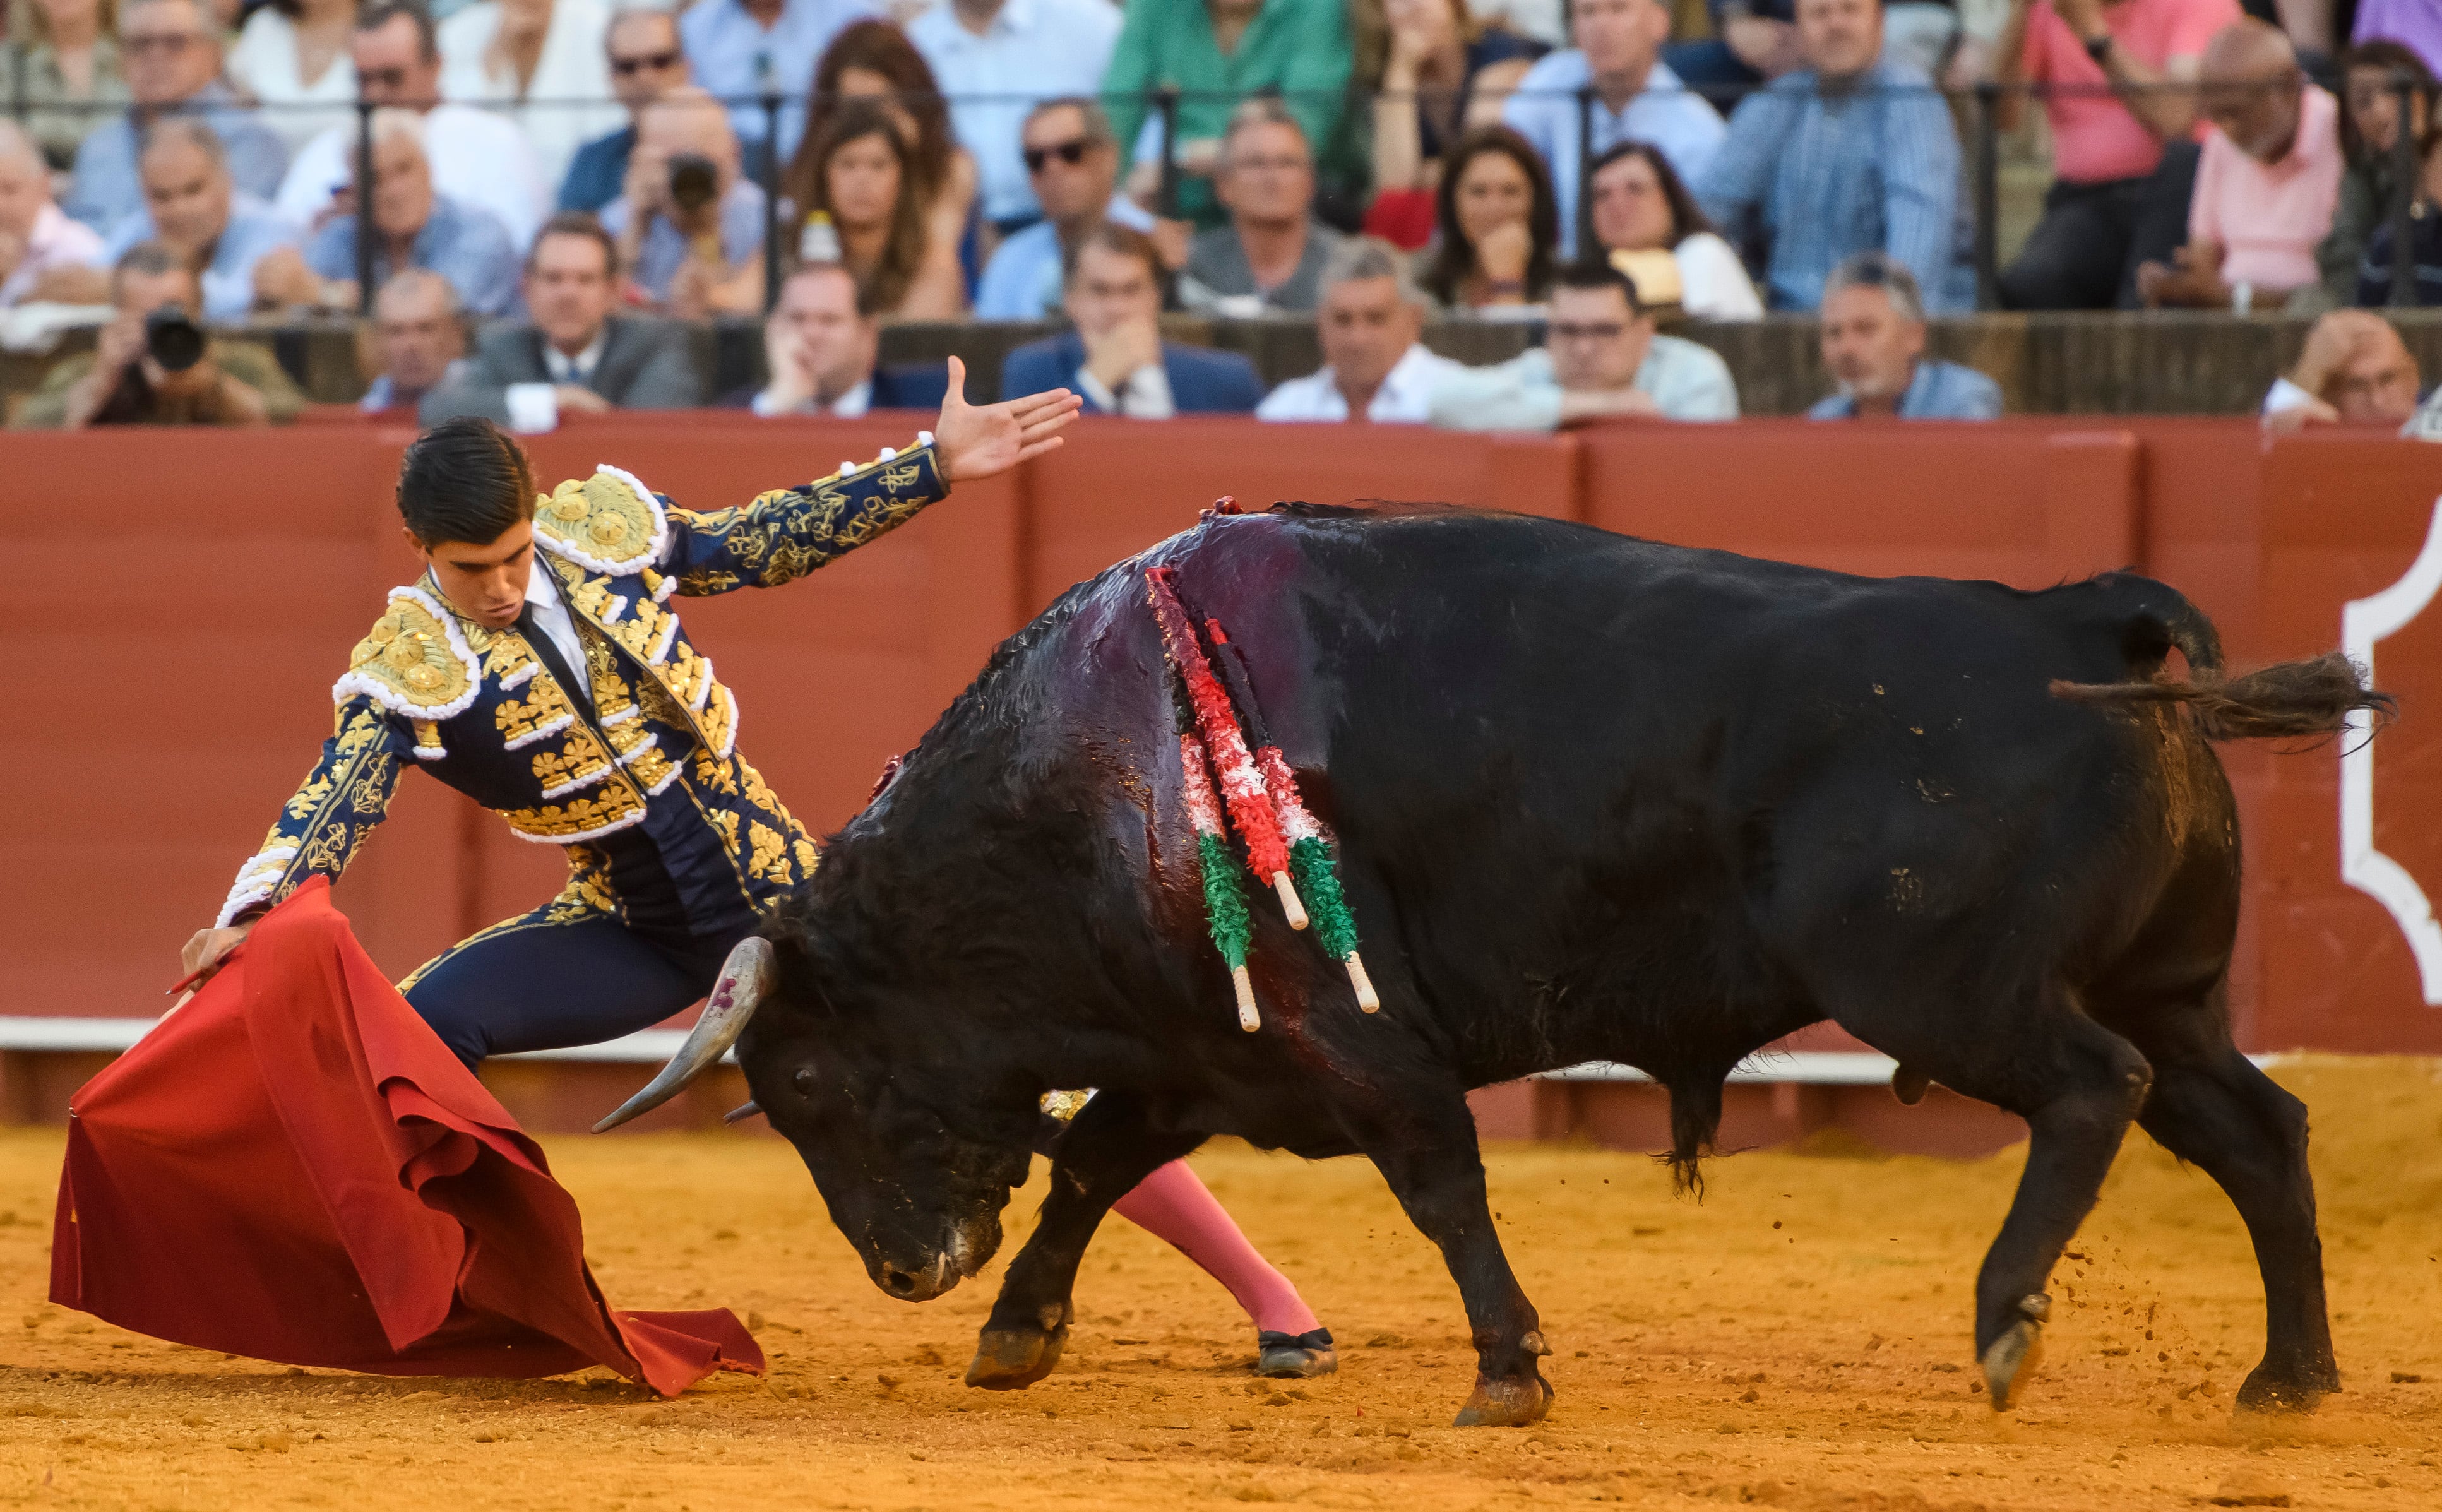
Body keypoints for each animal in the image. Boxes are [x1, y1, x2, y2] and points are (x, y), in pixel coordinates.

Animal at [600, 508, 2393, 1436]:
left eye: (804, 1078)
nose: (906, 1271)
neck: (1098, 775)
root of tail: (2074, 619)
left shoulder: (1341, 1036)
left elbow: (1436, 1182)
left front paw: (1508, 1373)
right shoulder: (1208, 1047)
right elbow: (1097, 1163)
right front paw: (1015, 1335)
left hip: (1943, 986)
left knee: (2096, 1092)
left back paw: (2006, 1322)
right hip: (2166, 981)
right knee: (2253, 1130)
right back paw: (2285, 1377)